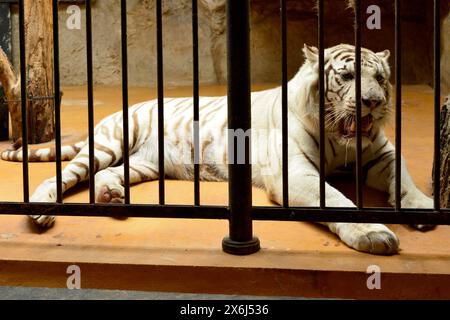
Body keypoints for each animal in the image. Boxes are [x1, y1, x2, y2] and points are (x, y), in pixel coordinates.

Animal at [1, 44, 434, 255]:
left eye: (381, 78)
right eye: (347, 77)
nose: (374, 102)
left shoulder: (381, 155)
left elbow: (404, 178)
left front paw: (424, 208)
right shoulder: (294, 171)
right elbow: (337, 200)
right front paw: (374, 233)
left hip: (144, 165)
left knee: (108, 175)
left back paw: (112, 198)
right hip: (110, 143)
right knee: (62, 174)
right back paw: (41, 210)